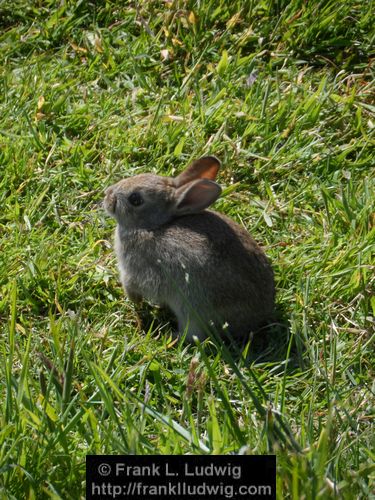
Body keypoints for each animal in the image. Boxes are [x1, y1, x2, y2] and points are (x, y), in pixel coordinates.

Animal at [104, 157, 274, 344]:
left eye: (135, 199)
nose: (107, 195)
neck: (152, 225)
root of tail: (256, 319)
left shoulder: (135, 272)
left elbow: (132, 287)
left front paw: (134, 302)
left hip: (193, 309)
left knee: (193, 335)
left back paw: (169, 336)